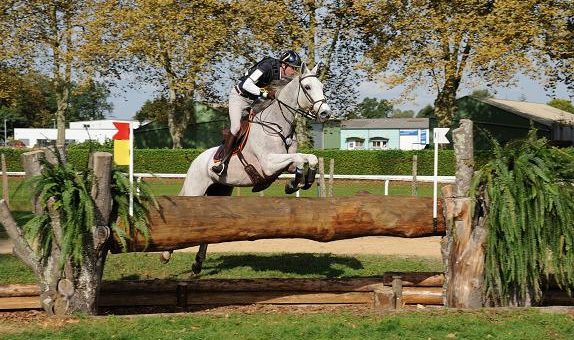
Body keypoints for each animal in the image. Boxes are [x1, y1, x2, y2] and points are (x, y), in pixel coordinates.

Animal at [162, 62, 332, 274]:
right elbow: (301, 159)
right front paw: (294, 184)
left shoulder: (286, 164)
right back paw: (166, 254)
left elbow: (309, 159)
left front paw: (299, 183)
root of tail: (195, 161)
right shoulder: (268, 164)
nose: (326, 113)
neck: (277, 125)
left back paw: (197, 264)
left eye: (323, 87)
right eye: (308, 87)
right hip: (196, 190)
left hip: (220, 191)